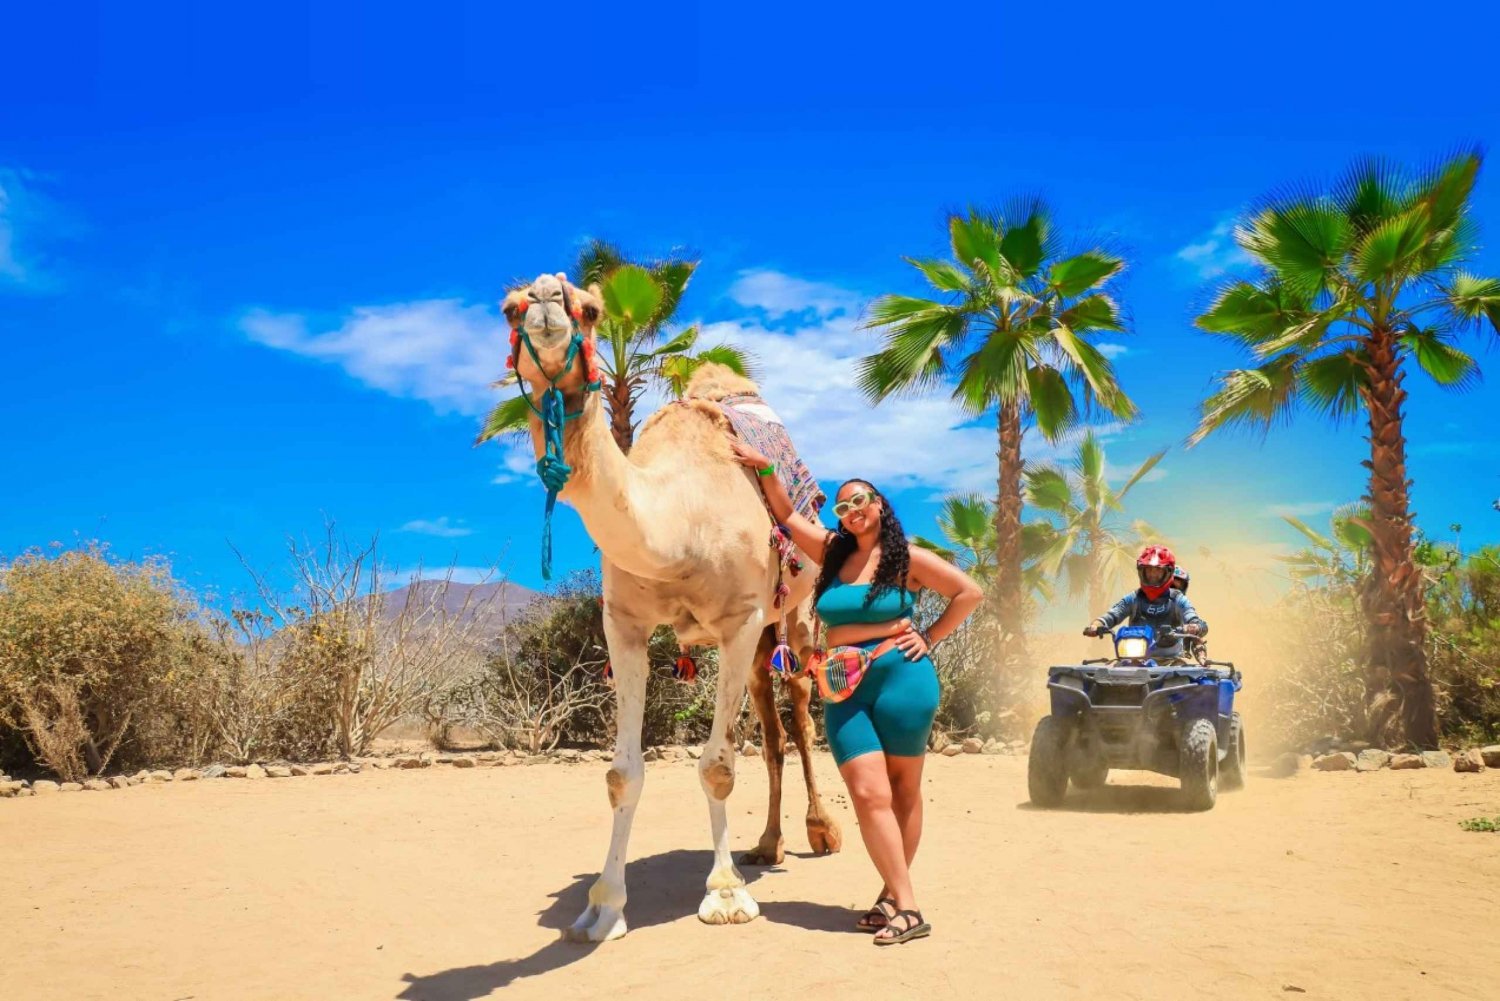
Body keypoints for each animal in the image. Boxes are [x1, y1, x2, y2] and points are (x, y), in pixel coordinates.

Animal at [504, 271, 846, 942]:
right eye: (509, 308)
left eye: (591, 309)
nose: (547, 304)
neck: (681, 518)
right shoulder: (624, 623)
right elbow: (621, 774)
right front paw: (603, 907)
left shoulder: (740, 620)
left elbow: (717, 764)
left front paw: (725, 896)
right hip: (760, 642)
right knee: (771, 730)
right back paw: (764, 845)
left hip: (792, 615)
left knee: (799, 713)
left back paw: (819, 832)